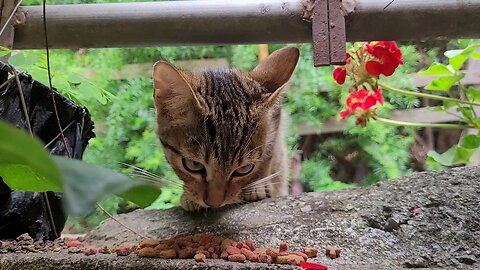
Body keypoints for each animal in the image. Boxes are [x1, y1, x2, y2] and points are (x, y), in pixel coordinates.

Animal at [152, 46, 298, 211]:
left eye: (245, 168)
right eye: (193, 165)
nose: (215, 203)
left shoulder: (276, 119)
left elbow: (268, 155)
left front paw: (257, 185)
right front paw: (189, 197)